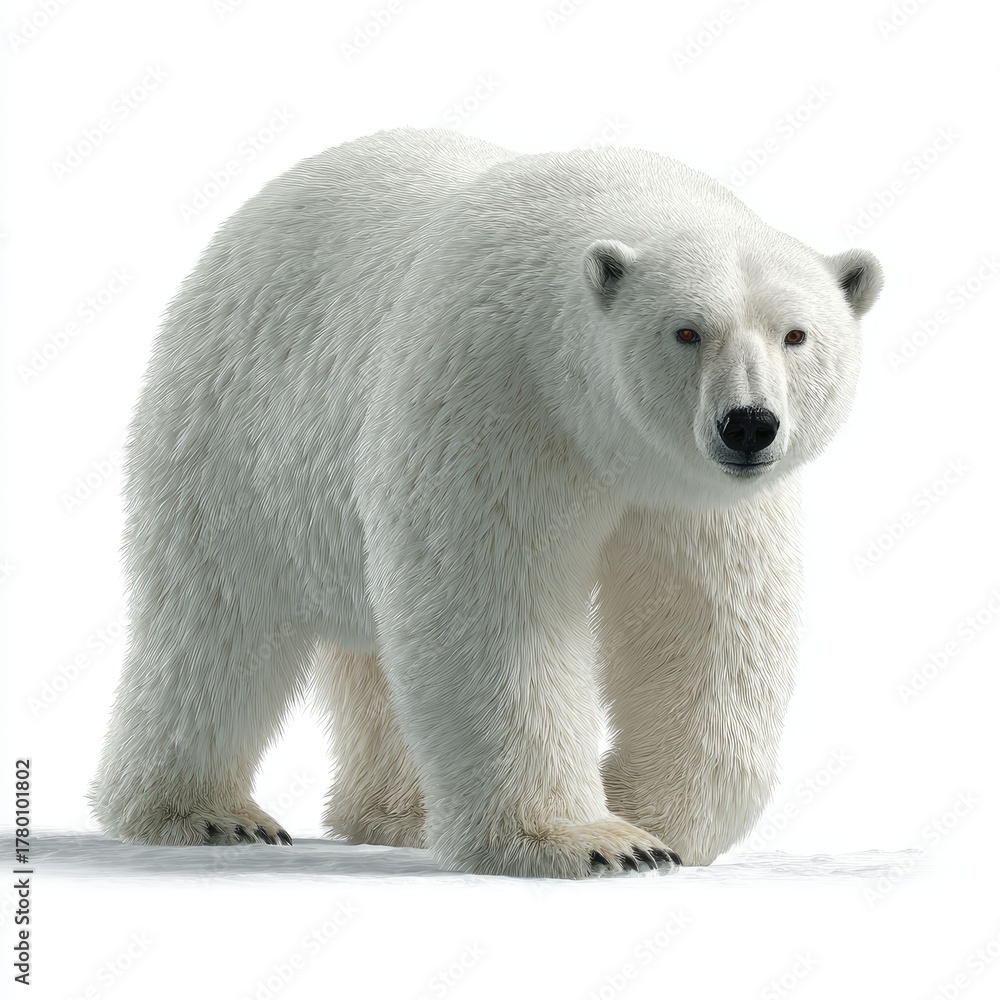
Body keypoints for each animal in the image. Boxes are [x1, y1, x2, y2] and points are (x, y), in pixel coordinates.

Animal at [89, 127, 883, 879]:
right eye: (686, 330)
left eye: (795, 334)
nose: (748, 424)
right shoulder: (498, 394)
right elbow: (493, 606)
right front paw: (597, 842)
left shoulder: (693, 492)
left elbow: (705, 619)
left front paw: (650, 818)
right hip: (236, 427)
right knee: (218, 616)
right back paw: (207, 813)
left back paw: (402, 814)